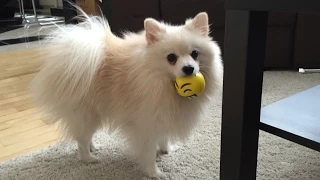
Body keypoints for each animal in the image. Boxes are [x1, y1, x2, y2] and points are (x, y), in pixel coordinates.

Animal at [30, 7, 222, 179]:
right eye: (171, 58)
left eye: (195, 53)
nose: (189, 68)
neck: (163, 84)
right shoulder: (147, 123)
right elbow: (149, 152)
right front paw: (154, 173)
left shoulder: (163, 116)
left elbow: (163, 137)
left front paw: (166, 150)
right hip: (86, 114)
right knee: (81, 140)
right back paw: (89, 158)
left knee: (84, 136)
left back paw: (94, 147)